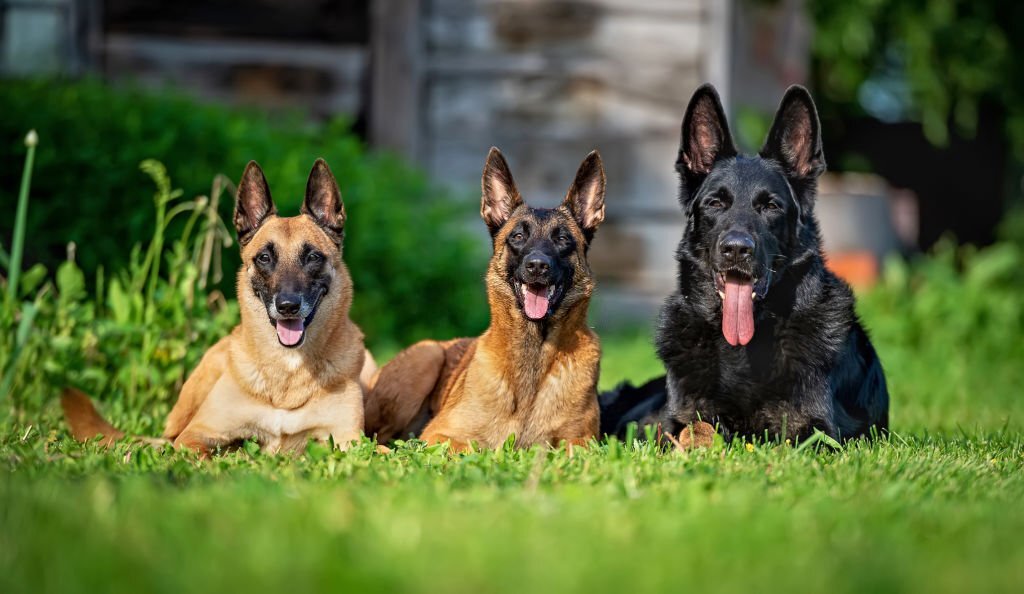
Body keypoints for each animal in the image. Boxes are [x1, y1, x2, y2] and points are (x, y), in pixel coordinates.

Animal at [59, 157, 374, 454]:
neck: (287, 372)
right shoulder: (195, 435)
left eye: (312, 257)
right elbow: (206, 455)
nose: (287, 306)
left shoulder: (351, 442)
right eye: (264, 258)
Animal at [364, 147, 606, 450]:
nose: (537, 266)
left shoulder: (582, 443)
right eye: (518, 236)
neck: (534, 351)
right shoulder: (439, 434)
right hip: (426, 357)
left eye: (562, 239)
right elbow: (471, 446)